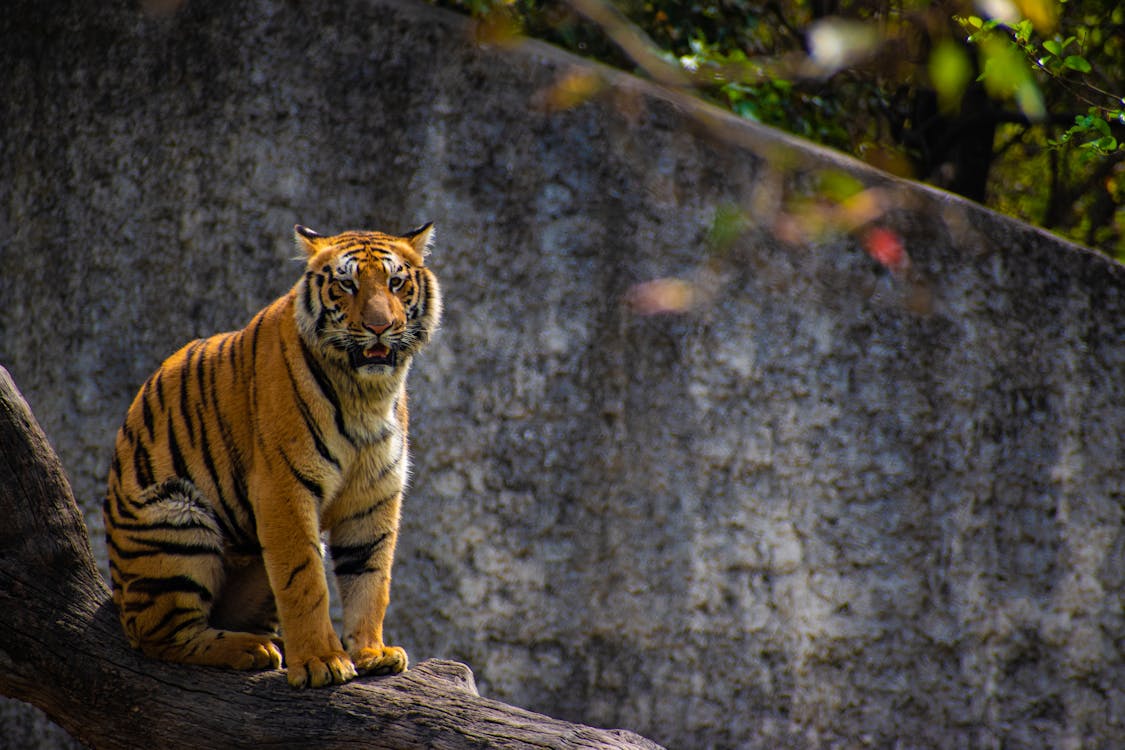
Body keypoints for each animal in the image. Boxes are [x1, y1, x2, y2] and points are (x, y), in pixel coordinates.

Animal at [103, 221, 441, 688]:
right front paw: (321, 661)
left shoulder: (373, 495)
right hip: (175, 525)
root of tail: (118, 592)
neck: (367, 392)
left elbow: (371, 577)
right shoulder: (283, 486)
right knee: (161, 635)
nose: (380, 326)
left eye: (395, 283)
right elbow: (304, 579)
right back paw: (253, 649)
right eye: (347, 284)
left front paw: (373, 652)